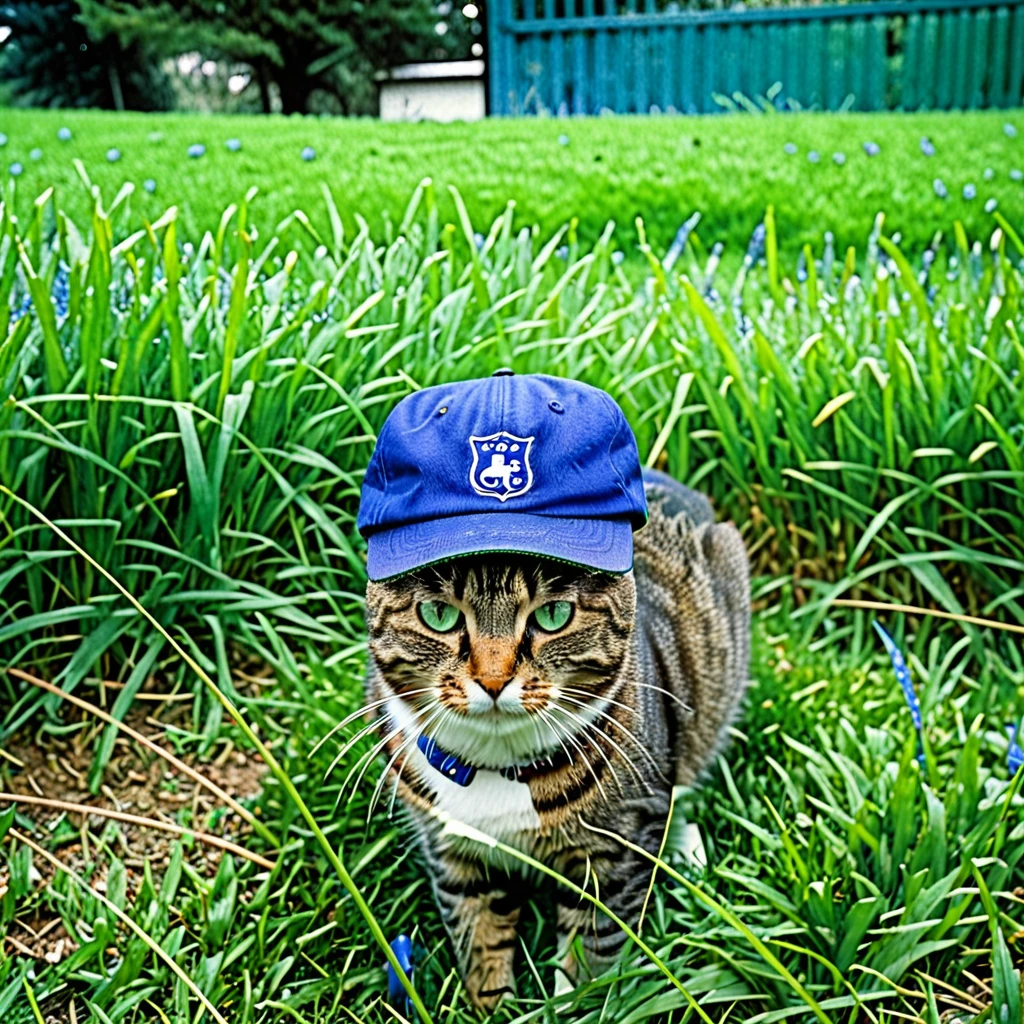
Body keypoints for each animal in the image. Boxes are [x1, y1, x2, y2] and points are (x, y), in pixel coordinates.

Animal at [364, 468, 749, 1011]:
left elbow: (595, 951)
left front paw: (577, 1005)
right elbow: (477, 936)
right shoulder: (453, 852)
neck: (494, 765)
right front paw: (493, 1007)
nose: (493, 680)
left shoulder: (615, 851)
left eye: (553, 616)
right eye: (438, 615)